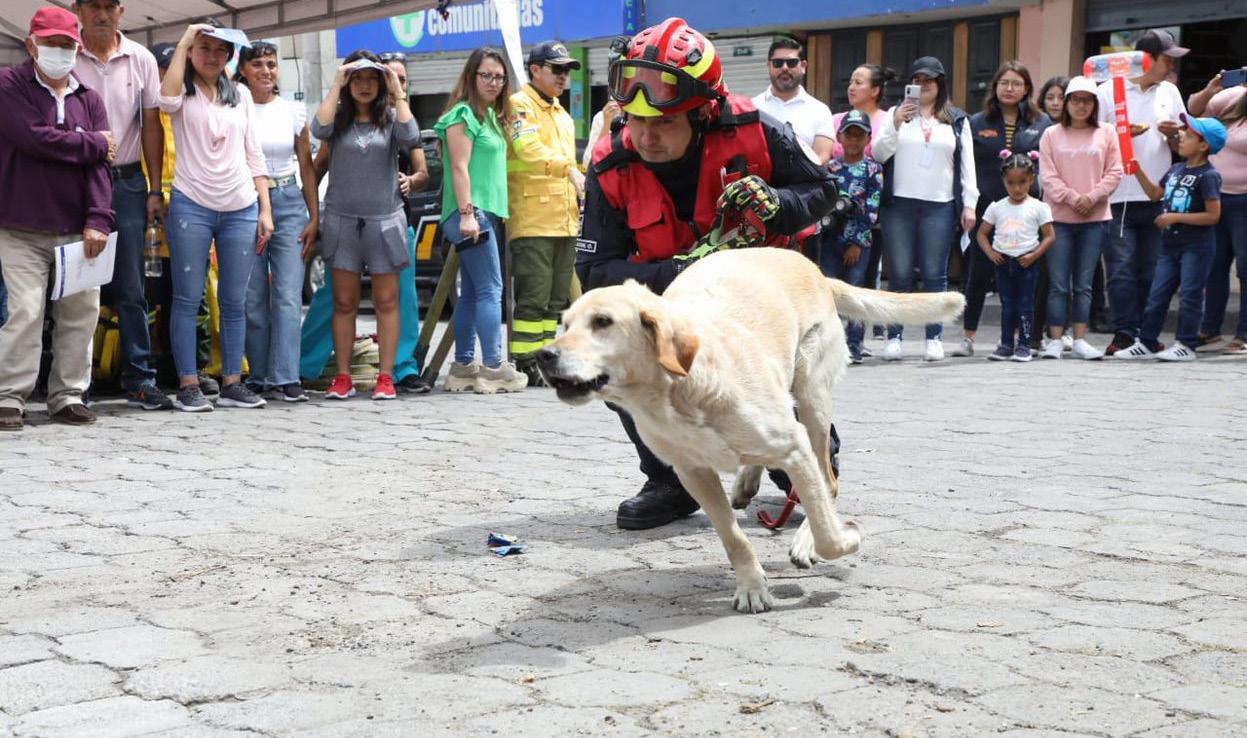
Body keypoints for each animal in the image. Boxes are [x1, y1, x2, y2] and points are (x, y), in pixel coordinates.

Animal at [537, 248, 965, 613]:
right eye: (565, 323)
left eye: (603, 322)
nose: (543, 355)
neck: (679, 390)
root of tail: (815, 269)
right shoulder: (693, 472)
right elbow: (733, 538)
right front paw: (752, 587)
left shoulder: (794, 448)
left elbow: (827, 528)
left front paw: (843, 538)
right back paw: (746, 481)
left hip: (811, 396)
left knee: (827, 480)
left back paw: (804, 533)